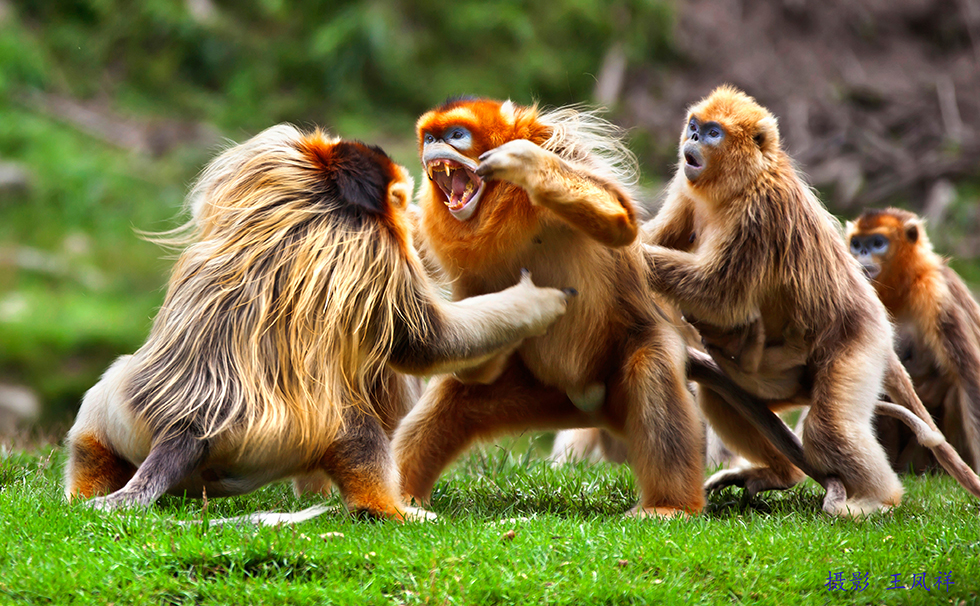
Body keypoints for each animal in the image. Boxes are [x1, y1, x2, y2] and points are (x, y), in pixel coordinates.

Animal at [65, 124, 572, 524]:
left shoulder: (274, 157)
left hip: (125, 410)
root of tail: (187, 423)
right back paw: (385, 507)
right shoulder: (376, 248)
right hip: (275, 438)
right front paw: (539, 302)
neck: (330, 194)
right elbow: (426, 343)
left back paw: (81, 488)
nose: (408, 213)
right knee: (359, 419)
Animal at [848, 209, 980, 476]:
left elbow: (968, 376)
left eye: (877, 242)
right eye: (856, 243)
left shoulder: (937, 290)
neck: (898, 291)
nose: (861, 252)